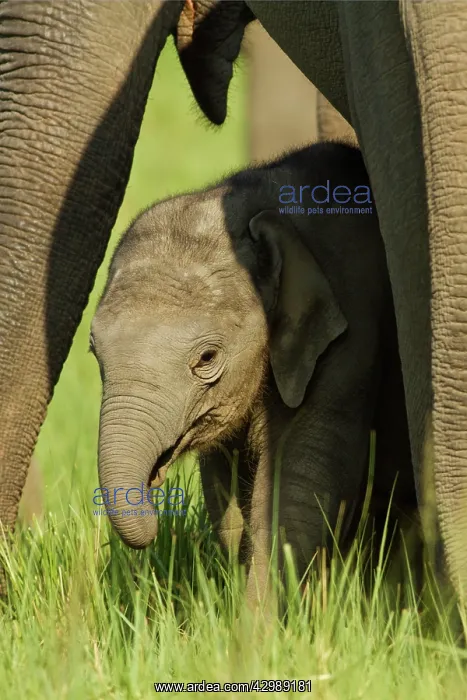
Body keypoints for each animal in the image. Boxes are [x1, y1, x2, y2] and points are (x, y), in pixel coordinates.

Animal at [90, 141, 416, 602]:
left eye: (207, 358)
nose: (155, 507)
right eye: (93, 351)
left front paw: (259, 620)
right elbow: (224, 493)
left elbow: (302, 479)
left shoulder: (349, 337)